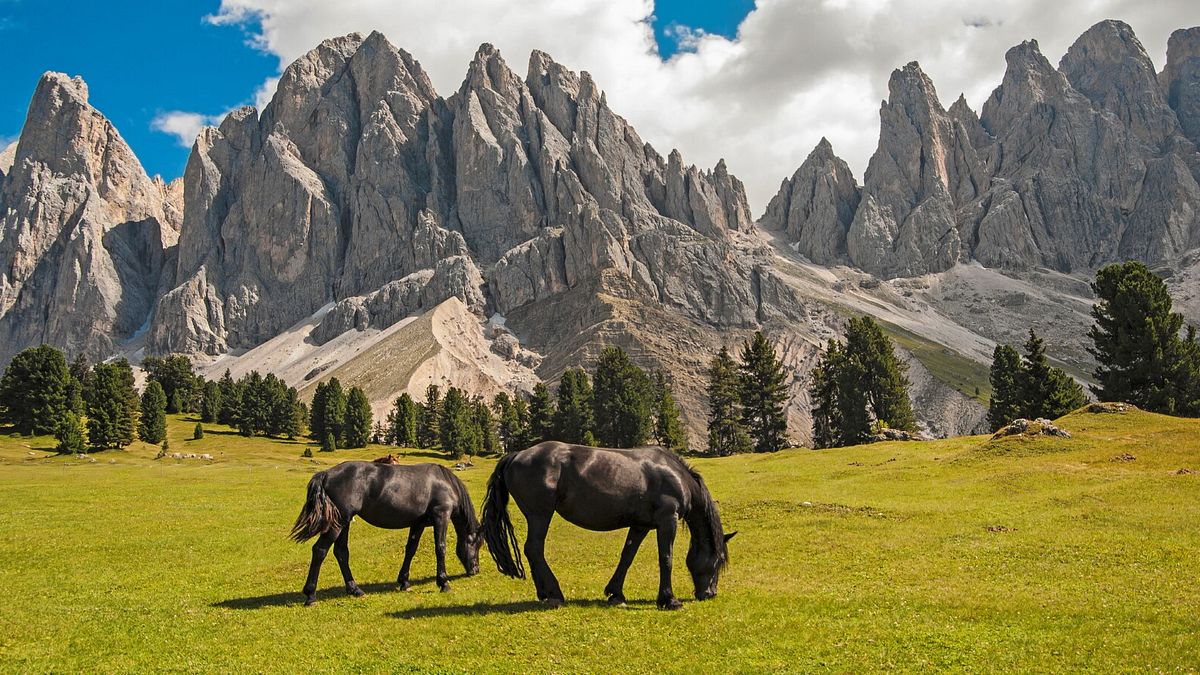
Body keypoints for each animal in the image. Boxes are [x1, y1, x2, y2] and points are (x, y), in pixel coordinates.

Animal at [289, 458, 477, 600]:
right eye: (477, 543)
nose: (475, 570)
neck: (444, 483)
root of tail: (327, 474)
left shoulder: (418, 524)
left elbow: (411, 549)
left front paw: (404, 582)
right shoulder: (441, 516)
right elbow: (440, 548)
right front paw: (443, 582)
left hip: (344, 522)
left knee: (341, 552)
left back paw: (355, 589)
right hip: (338, 523)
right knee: (320, 550)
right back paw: (311, 595)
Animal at [480, 439, 729, 607]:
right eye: (718, 561)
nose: (710, 593)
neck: (675, 475)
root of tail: (517, 455)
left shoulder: (640, 526)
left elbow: (627, 557)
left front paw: (616, 593)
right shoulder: (668, 520)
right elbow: (666, 558)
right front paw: (669, 600)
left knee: (534, 551)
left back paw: (544, 593)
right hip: (540, 515)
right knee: (533, 549)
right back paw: (554, 593)